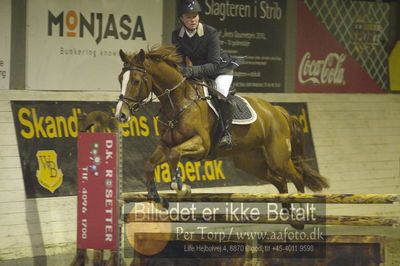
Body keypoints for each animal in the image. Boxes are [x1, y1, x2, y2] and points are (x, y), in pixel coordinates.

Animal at [115, 45, 328, 208]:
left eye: (136, 81)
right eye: (119, 79)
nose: (120, 114)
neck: (179, 100)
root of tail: (277, 110)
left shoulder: (201, 145)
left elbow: (175, 155)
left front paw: (180, 187)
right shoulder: (165, 144)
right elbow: (150, 163)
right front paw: (156, 195)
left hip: (278, 158)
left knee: (297, 178)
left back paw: (301, 212)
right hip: (251, 161)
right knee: (280, 181)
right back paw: (290, 216)